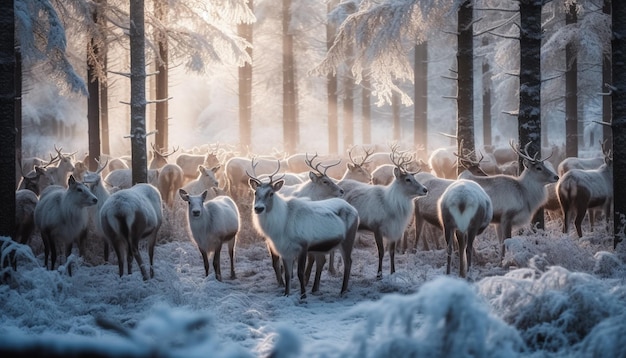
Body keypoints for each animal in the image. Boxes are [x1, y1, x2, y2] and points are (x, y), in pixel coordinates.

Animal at [247, 160, 358, 300]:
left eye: (271, 193)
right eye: (255, 193)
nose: (258, 208)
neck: (281, 224)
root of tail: (354, 210)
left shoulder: (303, 246)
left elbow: (300, 272)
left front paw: (303, 295)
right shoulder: (284, 250)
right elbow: (287, 274)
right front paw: (286, 293)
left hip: (347, 240)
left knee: (348, 262)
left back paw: (342, 291)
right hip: (321, 246)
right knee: (322, 261)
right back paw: (315, 289)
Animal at [338, 150, 426, 278]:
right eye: (407, 179)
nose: (425, 189)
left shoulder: (394, 230)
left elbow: (392, 252)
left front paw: (393, 272)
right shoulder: (376, 227)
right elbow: (381, 252)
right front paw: (379, 274)